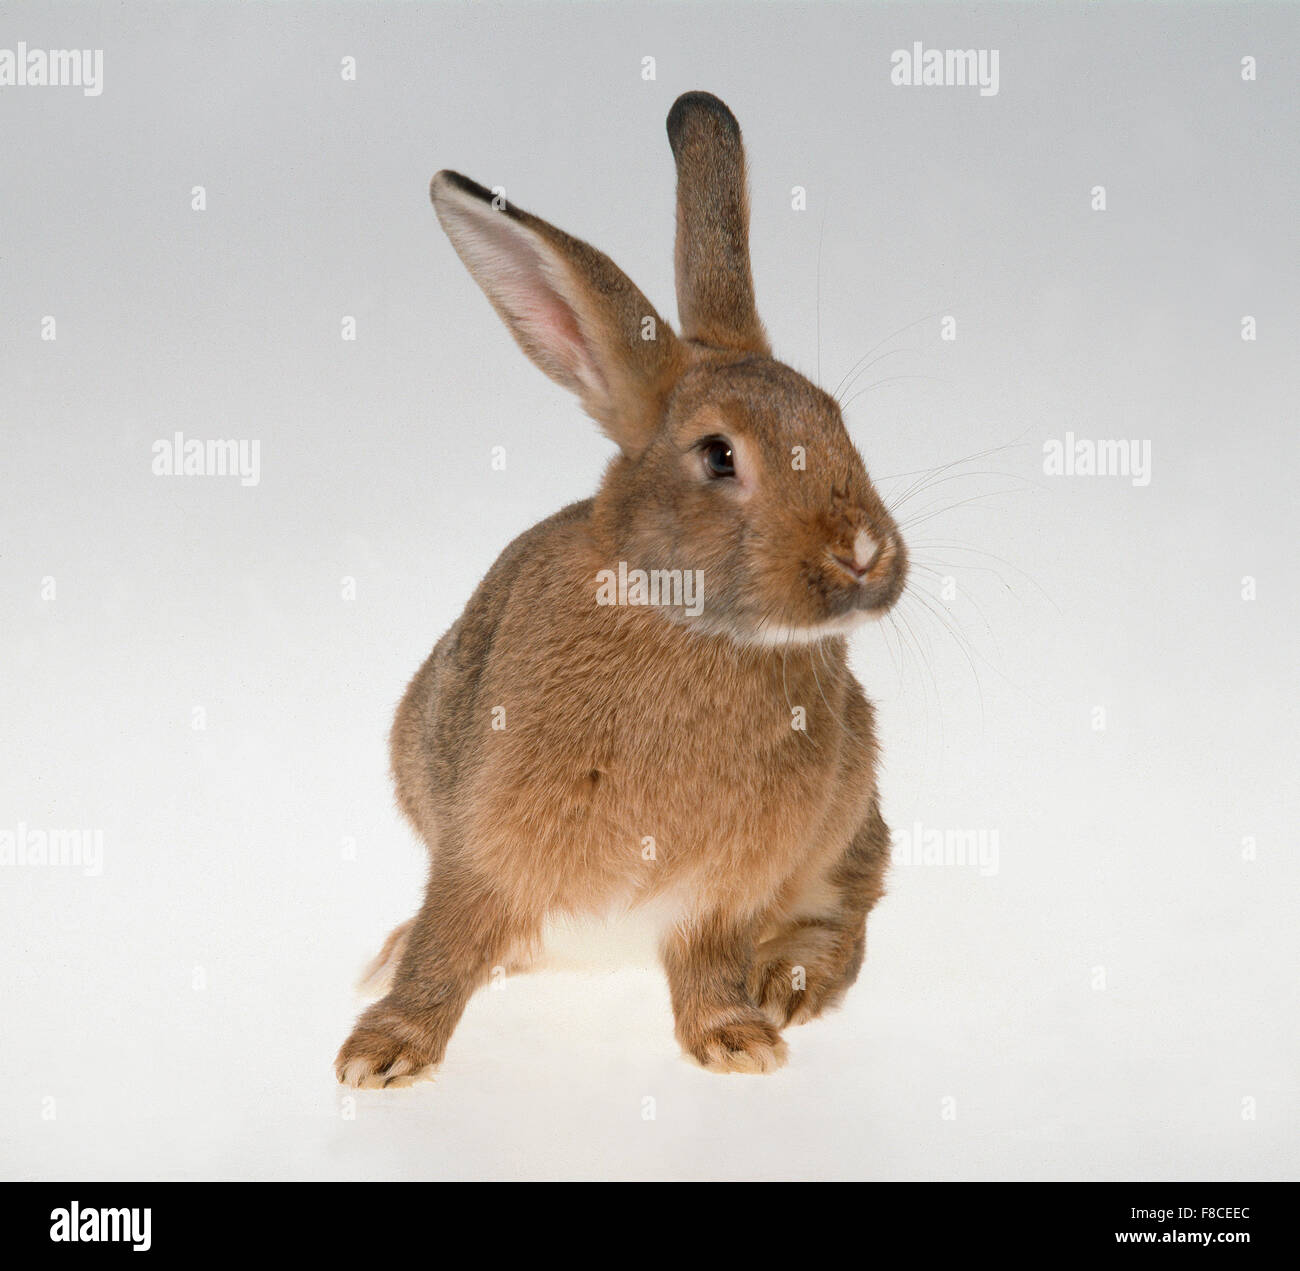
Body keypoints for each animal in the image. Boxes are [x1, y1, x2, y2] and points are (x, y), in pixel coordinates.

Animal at [335, 91, 908, 1087]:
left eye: (838, 423)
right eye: (719, 456)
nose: (865, 553)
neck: (682, 619)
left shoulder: (723, 889)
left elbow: (708, 959)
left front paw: (738, 1040)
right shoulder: (481, 844)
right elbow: (448, 940)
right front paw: (382, 1053)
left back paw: (788, 983)